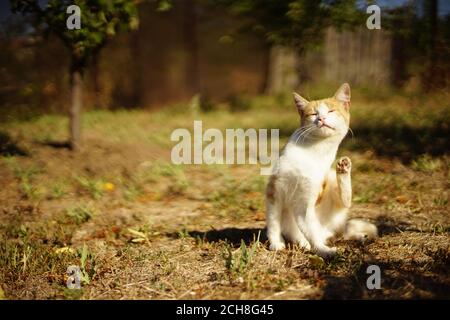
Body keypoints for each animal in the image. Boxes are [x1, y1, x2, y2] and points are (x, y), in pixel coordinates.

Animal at [266, 83, 378, 258]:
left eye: (331, 111)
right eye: (313, 113)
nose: (322, 119)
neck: (313, 151)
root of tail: (327, 230)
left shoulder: (304, 203)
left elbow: (311, 232)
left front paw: (323, 250)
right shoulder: (275, 191)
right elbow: (273, 222)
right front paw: (276, 243)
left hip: (330, 180)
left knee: (344, 202)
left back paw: (344, 169)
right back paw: (303, 242)